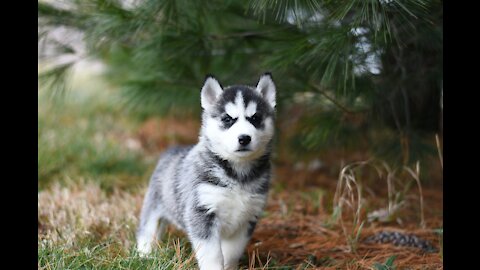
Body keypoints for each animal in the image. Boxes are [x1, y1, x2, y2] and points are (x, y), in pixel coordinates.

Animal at [137, 73, 276, 268]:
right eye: (227, 119)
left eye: (255, 118)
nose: (244, 138)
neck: (238, 173)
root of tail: (172, 150)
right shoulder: (202, 213)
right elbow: (212, 254)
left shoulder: (247, 219)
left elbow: (232, 252)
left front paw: (230, 267)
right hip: (153, 205)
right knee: (147, 229)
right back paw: (144, 255)